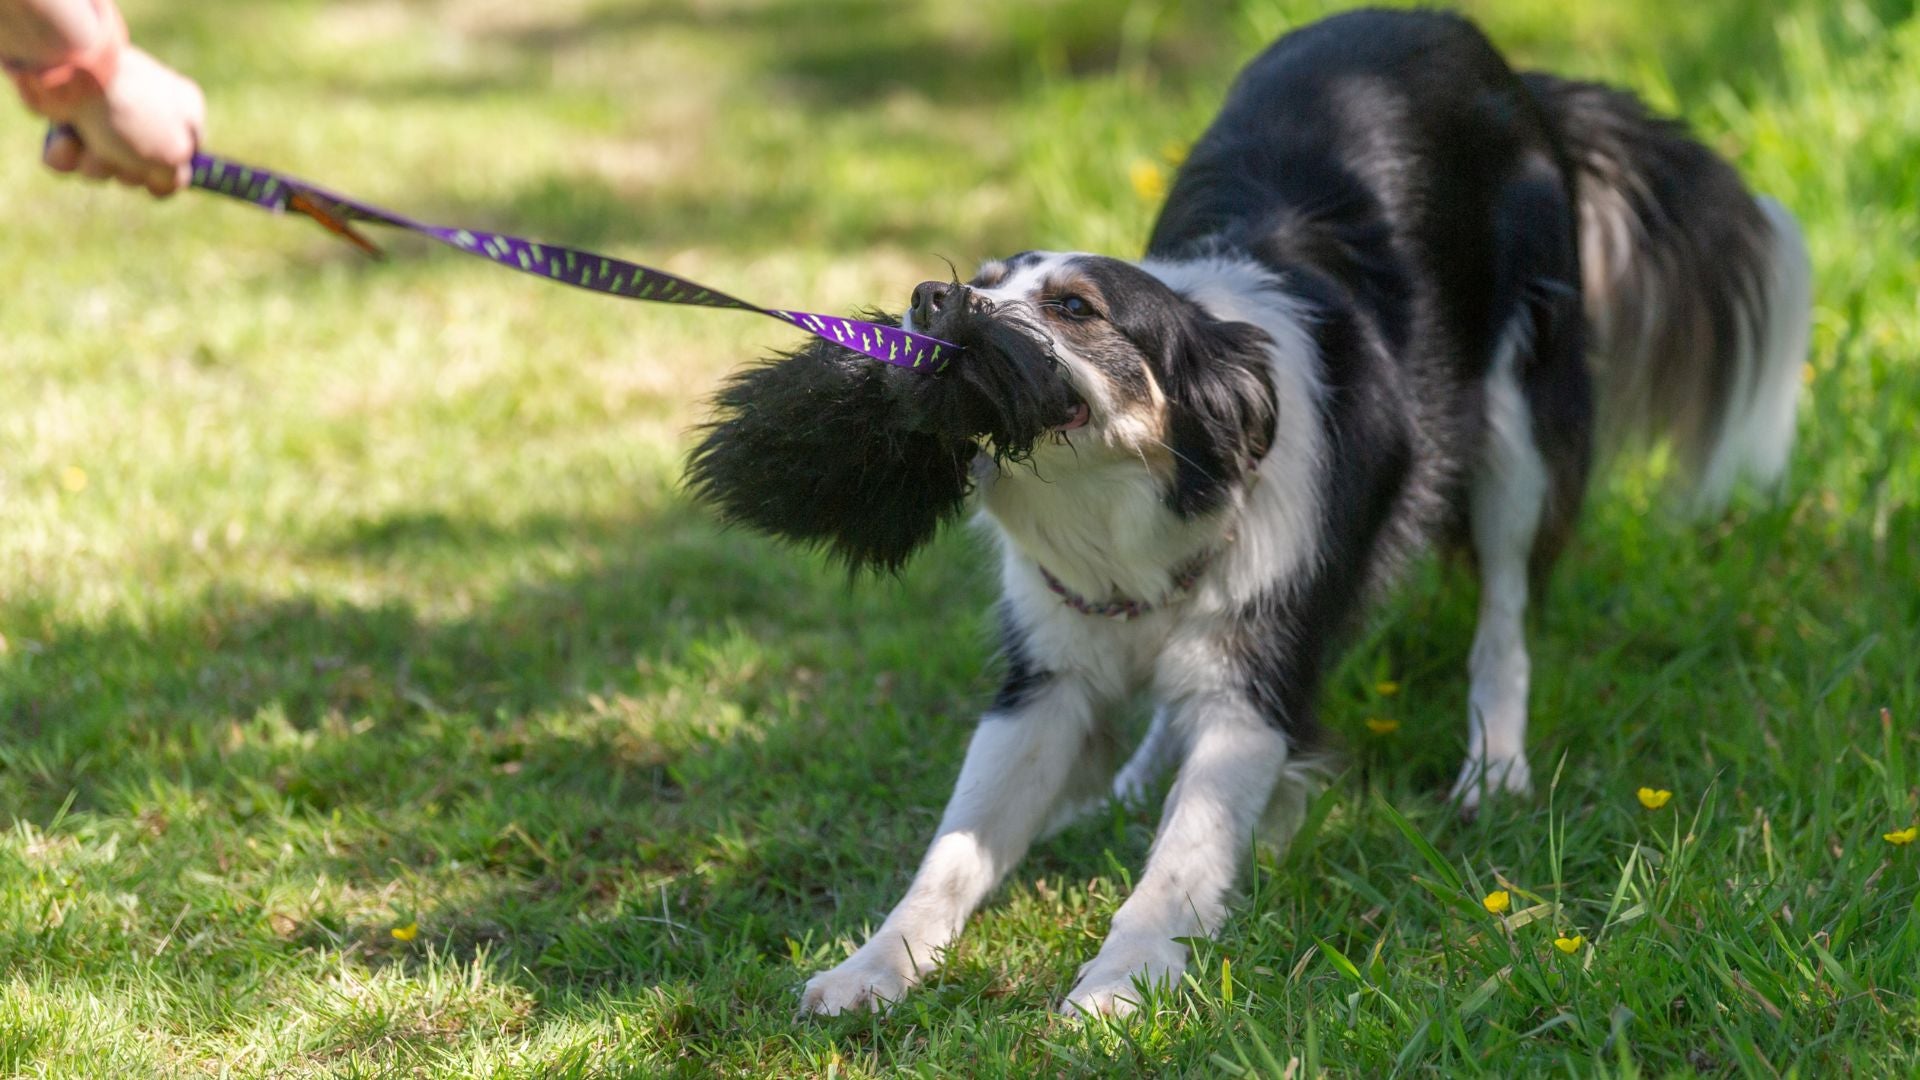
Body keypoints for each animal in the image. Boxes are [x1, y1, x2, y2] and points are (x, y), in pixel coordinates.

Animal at [683, 8, 1804, 1014]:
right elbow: (953, 851)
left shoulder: (1257, 687)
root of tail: (1504, 62)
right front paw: (872, 968)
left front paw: (1119, 985)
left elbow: (1183, 858)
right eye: (988, 278)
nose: (927, 299)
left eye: (1075, 310)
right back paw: (1136, 775)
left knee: (1506, 613)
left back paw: (1495, 768)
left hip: (1519, 424)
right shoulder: (1044, 676)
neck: (1126, 513)